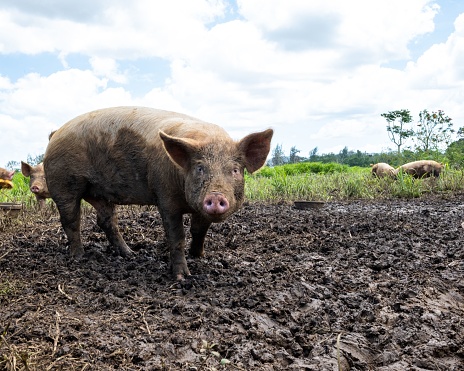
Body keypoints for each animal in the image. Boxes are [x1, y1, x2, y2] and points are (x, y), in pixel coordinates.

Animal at [43, 106, 272, 280]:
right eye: (200, 168)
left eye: (235, 170)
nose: (215, 197)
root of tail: (55, 134)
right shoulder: (165, 197)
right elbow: (176, 236)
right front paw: (182, 277)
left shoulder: (200, 207)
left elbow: (199, 230)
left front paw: (198, 256)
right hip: (64, 183)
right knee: (71, 220)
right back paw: (79, 257)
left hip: (98, 193)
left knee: (106, 220)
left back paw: (130, 254)